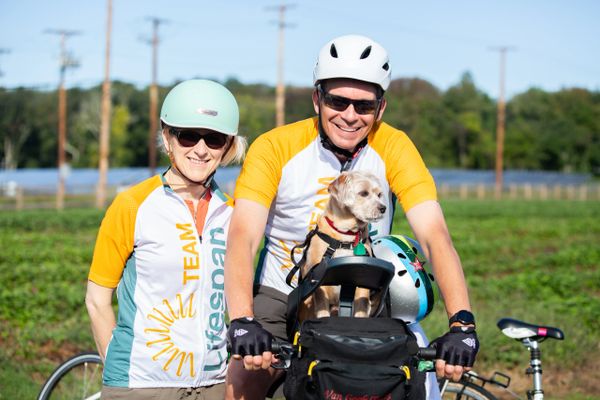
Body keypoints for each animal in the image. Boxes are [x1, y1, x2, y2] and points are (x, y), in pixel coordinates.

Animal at [300, 170, 390, 320]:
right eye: (364, 193)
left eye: (379, 194)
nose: (383, 208)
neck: (347, 237)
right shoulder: (318, 281)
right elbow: (321, 305)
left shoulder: (363, 283)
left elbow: (361, 307)